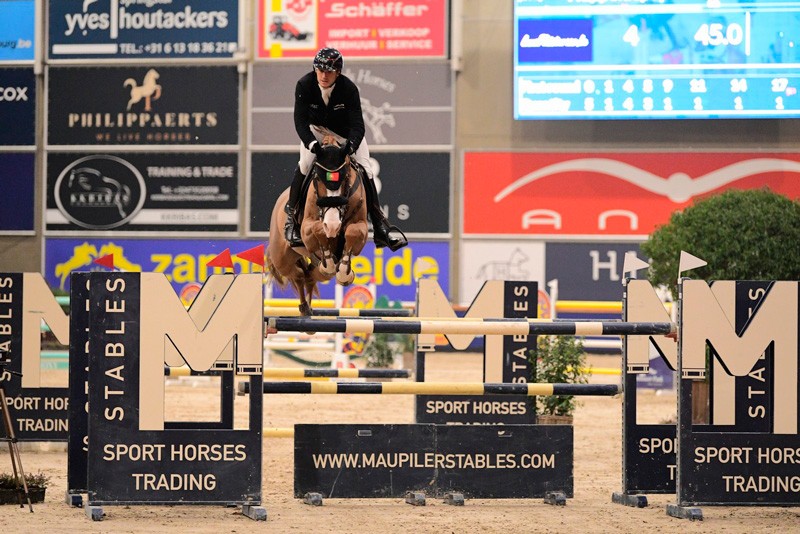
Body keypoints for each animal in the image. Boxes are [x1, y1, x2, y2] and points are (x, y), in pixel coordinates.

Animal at [267, 136, 369, 316]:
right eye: (318, 179)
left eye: (344, 178)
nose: (333, 225)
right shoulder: (307, 228)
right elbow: (318, 228)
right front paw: (329, 259)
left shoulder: (361, 228)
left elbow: (352, 232)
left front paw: (344, 272)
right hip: (281, 258)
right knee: (299, 274)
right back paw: (304, 304)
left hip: (311, 268)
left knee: (310, 275)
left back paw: (308, 304)